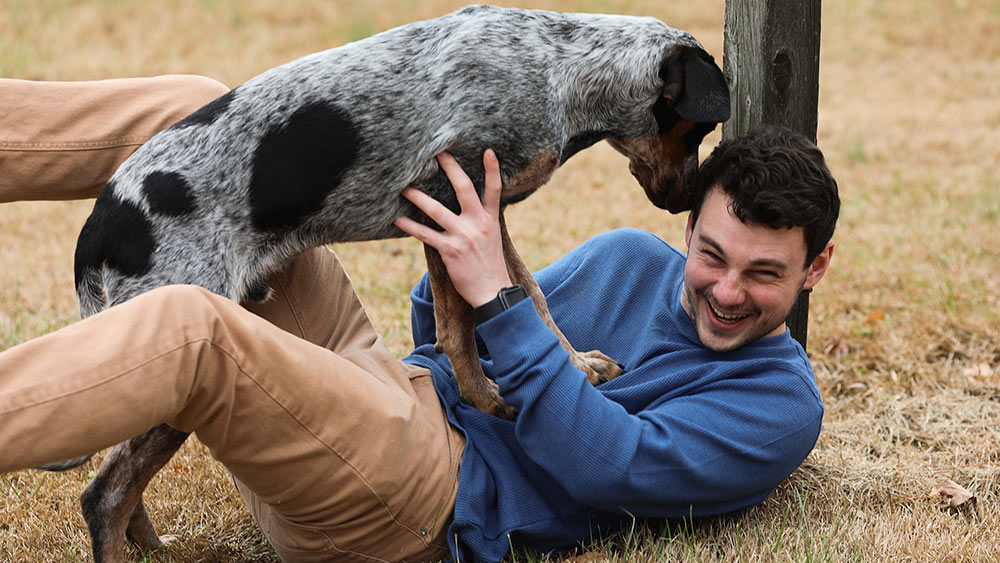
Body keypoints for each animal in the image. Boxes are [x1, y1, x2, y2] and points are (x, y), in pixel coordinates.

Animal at [45, 5, 728, 563]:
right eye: (698, 129)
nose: (689, 200)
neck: (559, 69)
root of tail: (99, 223)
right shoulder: (451, 200)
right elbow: (466, 325)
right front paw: (490, 400)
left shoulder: (486, 211)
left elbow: (529, 294)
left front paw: (577, 366)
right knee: (103, 494)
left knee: (123, 483)